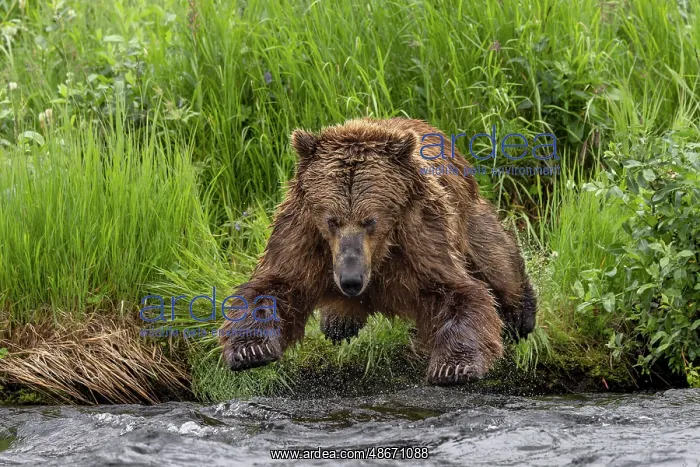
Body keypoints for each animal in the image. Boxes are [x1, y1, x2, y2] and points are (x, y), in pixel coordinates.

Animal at [219, 117, 537, 385]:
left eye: (370, 220)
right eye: (332, 220)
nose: (350, 280)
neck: (378, 254)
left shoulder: (420, 235)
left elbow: (458, 292)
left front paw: (454, 366)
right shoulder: (304, 236)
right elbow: (276, 286)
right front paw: (250, 350)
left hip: (466, 216)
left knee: (496, 261)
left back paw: (522, 315)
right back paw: (338, 323)